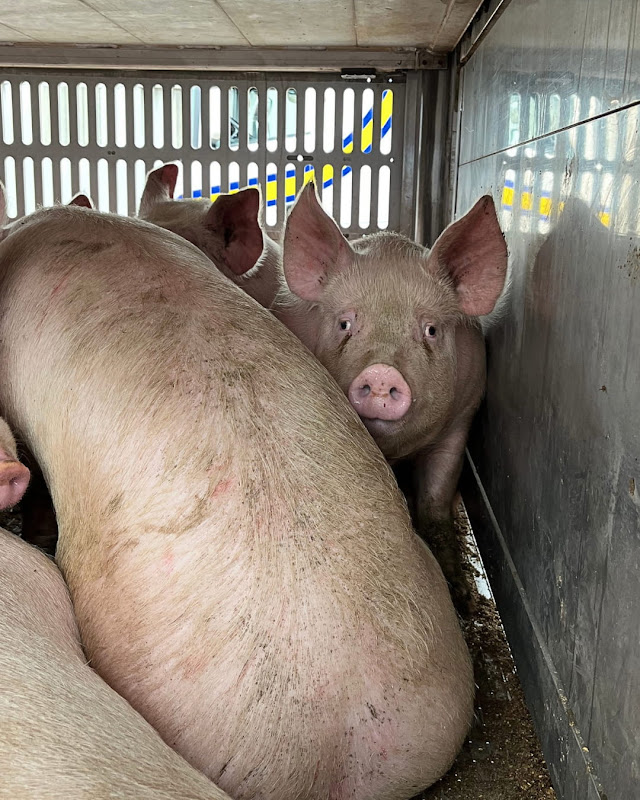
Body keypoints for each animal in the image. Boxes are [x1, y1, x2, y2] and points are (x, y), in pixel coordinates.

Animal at [277, 183, 508, 607]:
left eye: (431, 330)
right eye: (345, 323)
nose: (382, 373)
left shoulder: (462, 418)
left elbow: (436, 500)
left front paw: (461, 596)